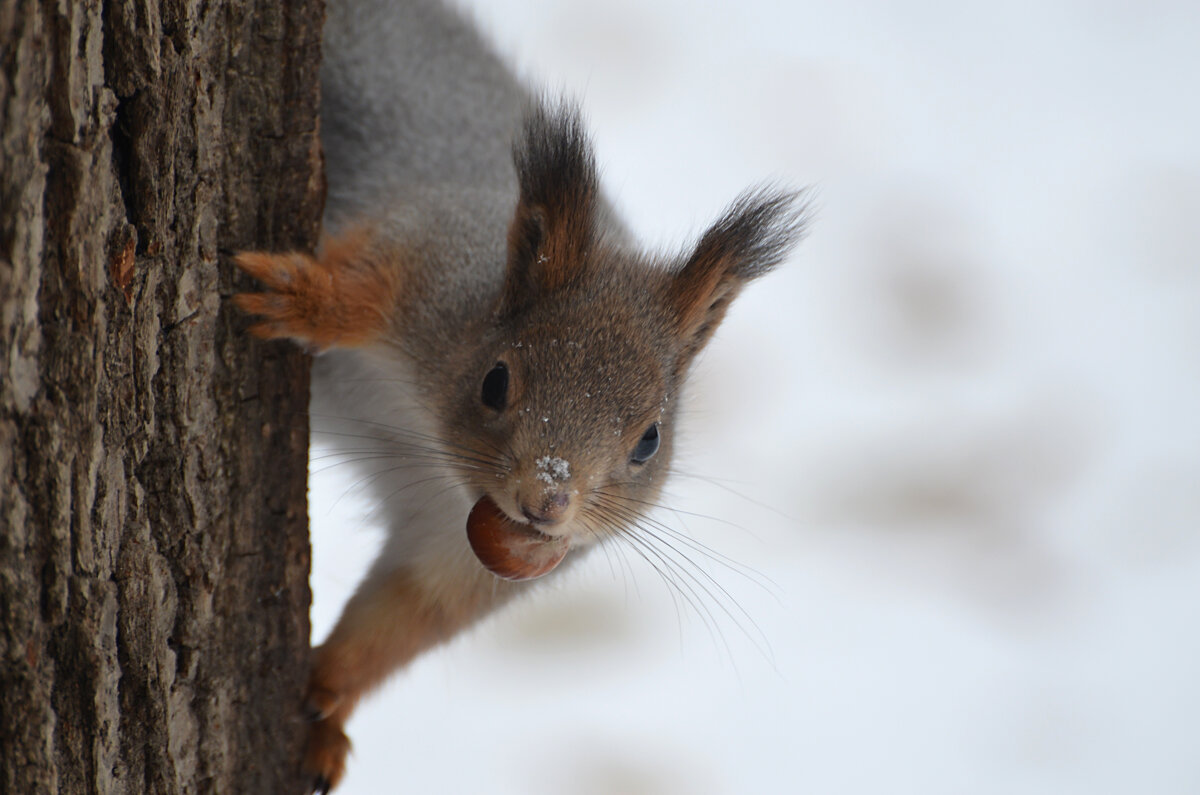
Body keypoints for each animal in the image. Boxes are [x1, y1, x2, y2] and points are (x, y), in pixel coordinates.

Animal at [230, 0, 811, 792]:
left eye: (650, 441)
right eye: (496, 380)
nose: (547, 500)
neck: (425, 439)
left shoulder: (461, 554)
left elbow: (406, 614)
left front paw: (326, 700)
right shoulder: (434, 258)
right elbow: (369, 280)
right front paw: (305, 300)